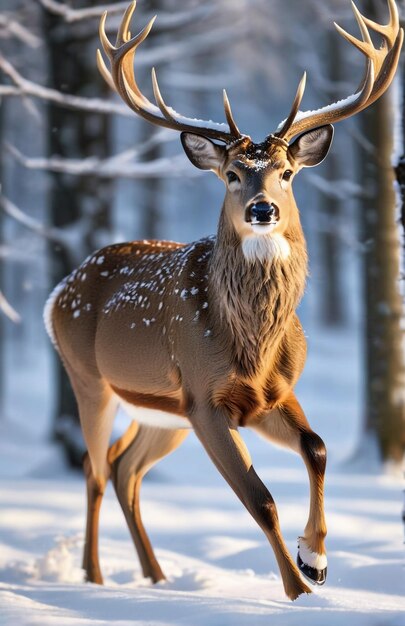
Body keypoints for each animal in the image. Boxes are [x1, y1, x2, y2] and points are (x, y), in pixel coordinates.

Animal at [43, 0, 400, 596]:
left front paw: (316, 558)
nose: (262, 209)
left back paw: (158, 576)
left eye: (287, 172)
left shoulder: (270, 394)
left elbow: (318, 446)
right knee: (94, 470)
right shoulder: (207, 398)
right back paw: (95, 575)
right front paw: (299, 590)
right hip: (90, 378)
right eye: (232, 174)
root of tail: (57, 293)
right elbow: (261, 499)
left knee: (124, 467)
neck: (253, 345)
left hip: (164, 413)